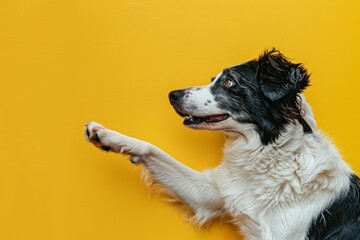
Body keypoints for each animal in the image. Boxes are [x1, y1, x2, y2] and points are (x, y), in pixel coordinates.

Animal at [85, 49, 360, 239]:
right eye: (213, 79)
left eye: (229, 82)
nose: (172, 95)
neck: (270, 154)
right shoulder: (212, 194)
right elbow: (152, 149)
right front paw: (107, 136)